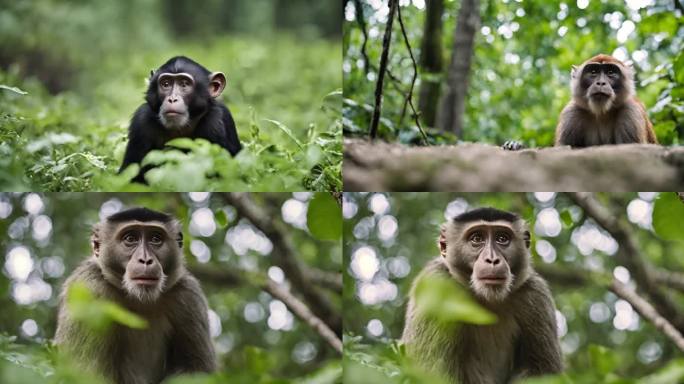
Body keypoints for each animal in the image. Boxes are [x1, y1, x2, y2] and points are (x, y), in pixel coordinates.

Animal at [54, 208, 215, 382]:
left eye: (155, 239)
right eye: (130, 238)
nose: (145, 260)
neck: (139, 299)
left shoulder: (188, 296)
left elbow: (196, 370)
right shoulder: (89, 289)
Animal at [400, 208, 560, 382]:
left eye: (502, 238)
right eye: (476, 238)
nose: (492, 260)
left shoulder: (535, 294)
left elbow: (542, 370)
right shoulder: (436, 284)